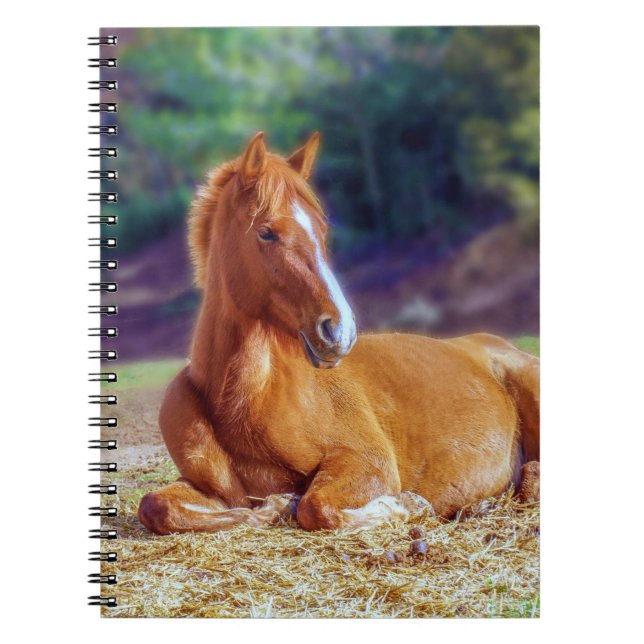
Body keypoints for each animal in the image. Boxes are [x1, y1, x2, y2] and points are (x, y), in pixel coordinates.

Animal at [138, 132, 540, 534]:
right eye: (266, 232)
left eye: (322, 230)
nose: (339, 331)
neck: (244, 401)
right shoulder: (209, 488)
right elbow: (156, 505)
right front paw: (274, 505)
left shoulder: (366, 461)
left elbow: (317, 508)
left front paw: (409, 505)